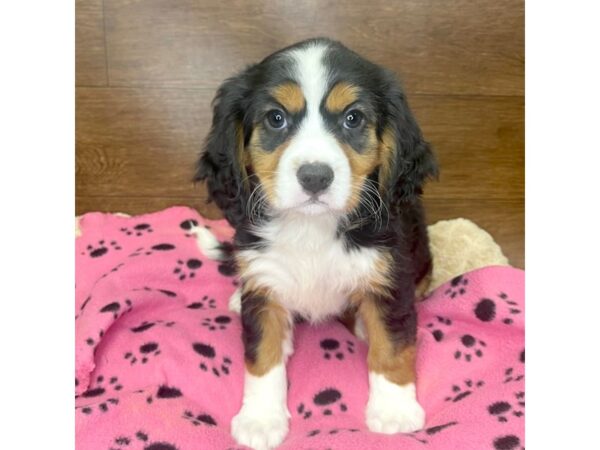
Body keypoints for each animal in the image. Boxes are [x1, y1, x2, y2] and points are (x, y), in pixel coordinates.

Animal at [196, 37, 436, 450]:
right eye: (276, 118)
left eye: (353, 118)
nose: (315, 177)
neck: (311, 227)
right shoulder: (264, 278)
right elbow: (262, 354)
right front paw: (261, 418)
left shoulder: (391, 277)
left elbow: (392, 346)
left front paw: (393, 410)